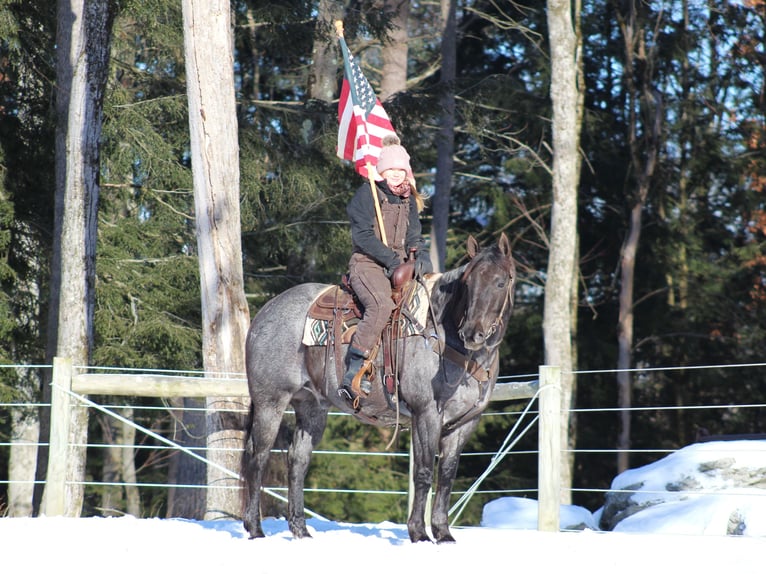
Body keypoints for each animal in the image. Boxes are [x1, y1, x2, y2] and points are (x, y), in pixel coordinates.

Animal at [240, 233, 516, 544]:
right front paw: (418, 533)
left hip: (311, 407)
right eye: (468, 283)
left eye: (501, 282)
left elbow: (446, 475)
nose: (472, 333)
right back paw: (255, 529)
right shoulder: (426, 414)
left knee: (297, 460)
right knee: (258, 456)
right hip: (270, 402)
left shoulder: (464, 423)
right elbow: (423, 472)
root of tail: (266, 311)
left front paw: (443, 533)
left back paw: (300, 530)